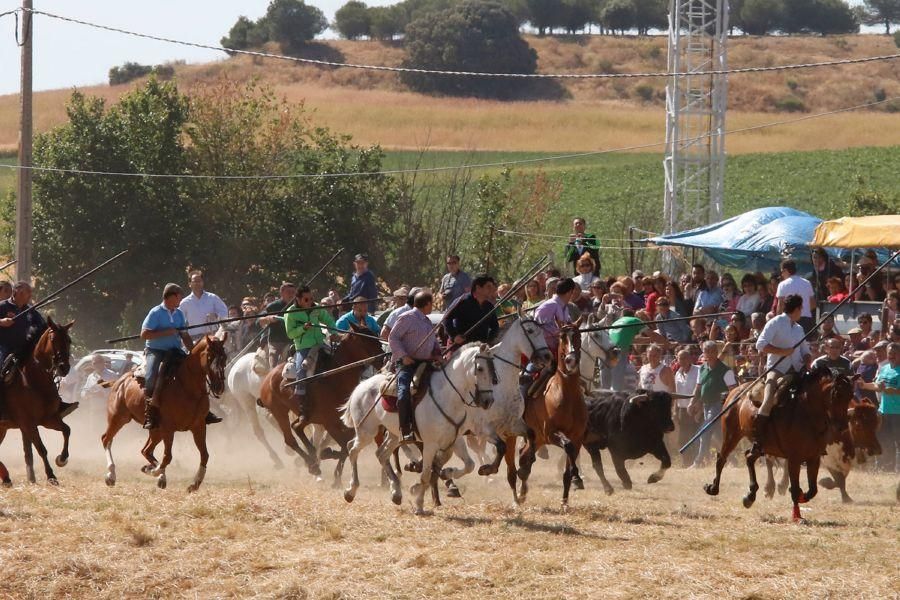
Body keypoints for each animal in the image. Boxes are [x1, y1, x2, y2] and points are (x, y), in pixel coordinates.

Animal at [102, 332, 229, 492]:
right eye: (210, 356)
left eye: (224, 357)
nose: (219, 386)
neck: (187, 386)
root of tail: (119, 381)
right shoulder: (169, 428)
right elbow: (167, 457)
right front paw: (156, 473)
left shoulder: (198, 426)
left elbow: (204, 455)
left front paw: (195, 483)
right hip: (118, 418)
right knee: (107, 439)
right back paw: (111, 475)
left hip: (155, 430)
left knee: (146, 450)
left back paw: (153, 472)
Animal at [256, 324, 384, 488]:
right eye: (365, 339)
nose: (383, 358)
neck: (336, 378)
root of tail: (268, 378)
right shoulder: (330, 423)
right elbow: (345, 446)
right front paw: (331, 468)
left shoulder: (343, 423)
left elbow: (346, 446)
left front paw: (335, 474)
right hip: (280, 412)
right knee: (291, 437)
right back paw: (312, 464)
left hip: (306, 416)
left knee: (298, 428)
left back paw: (313, 459)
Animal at [342, 342, 496, 516]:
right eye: (480, 368)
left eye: (493, 369)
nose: (488, 401)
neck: (447, 396)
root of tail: (361, 386)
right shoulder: (430, 445)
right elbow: (425, 474)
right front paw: (419, 504)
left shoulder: (455, 440)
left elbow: (469, 465)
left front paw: (446, 472)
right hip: (367, 431)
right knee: (352, 450)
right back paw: (350, 491)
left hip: (394, 435)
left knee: (381, 454)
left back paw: (396, 493)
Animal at [510, 324, 588, 506]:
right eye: (562, 337)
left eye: (578, 336)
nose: (571, 360)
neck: (566, 394)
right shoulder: (551, 434)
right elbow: (568, 446)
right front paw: (576, 475)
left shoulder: (577, 437)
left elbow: (568, 469)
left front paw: (565, 500)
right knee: (522, 458)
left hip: (538, 438)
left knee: (524, 455)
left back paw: (523, 489)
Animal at [704, 366, 852, 520]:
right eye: (836, 394)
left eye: (850, 396)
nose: (842, 426)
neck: (806, 413)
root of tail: (736, 391)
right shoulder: (794, 459)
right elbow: (795, 488)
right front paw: (797, 516)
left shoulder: (813, 458)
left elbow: (812, 490)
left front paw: (802, 496)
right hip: (732, 434)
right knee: (722, 458)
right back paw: (713, 488)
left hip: (761, 445)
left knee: (749, 457)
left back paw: (750, 495)